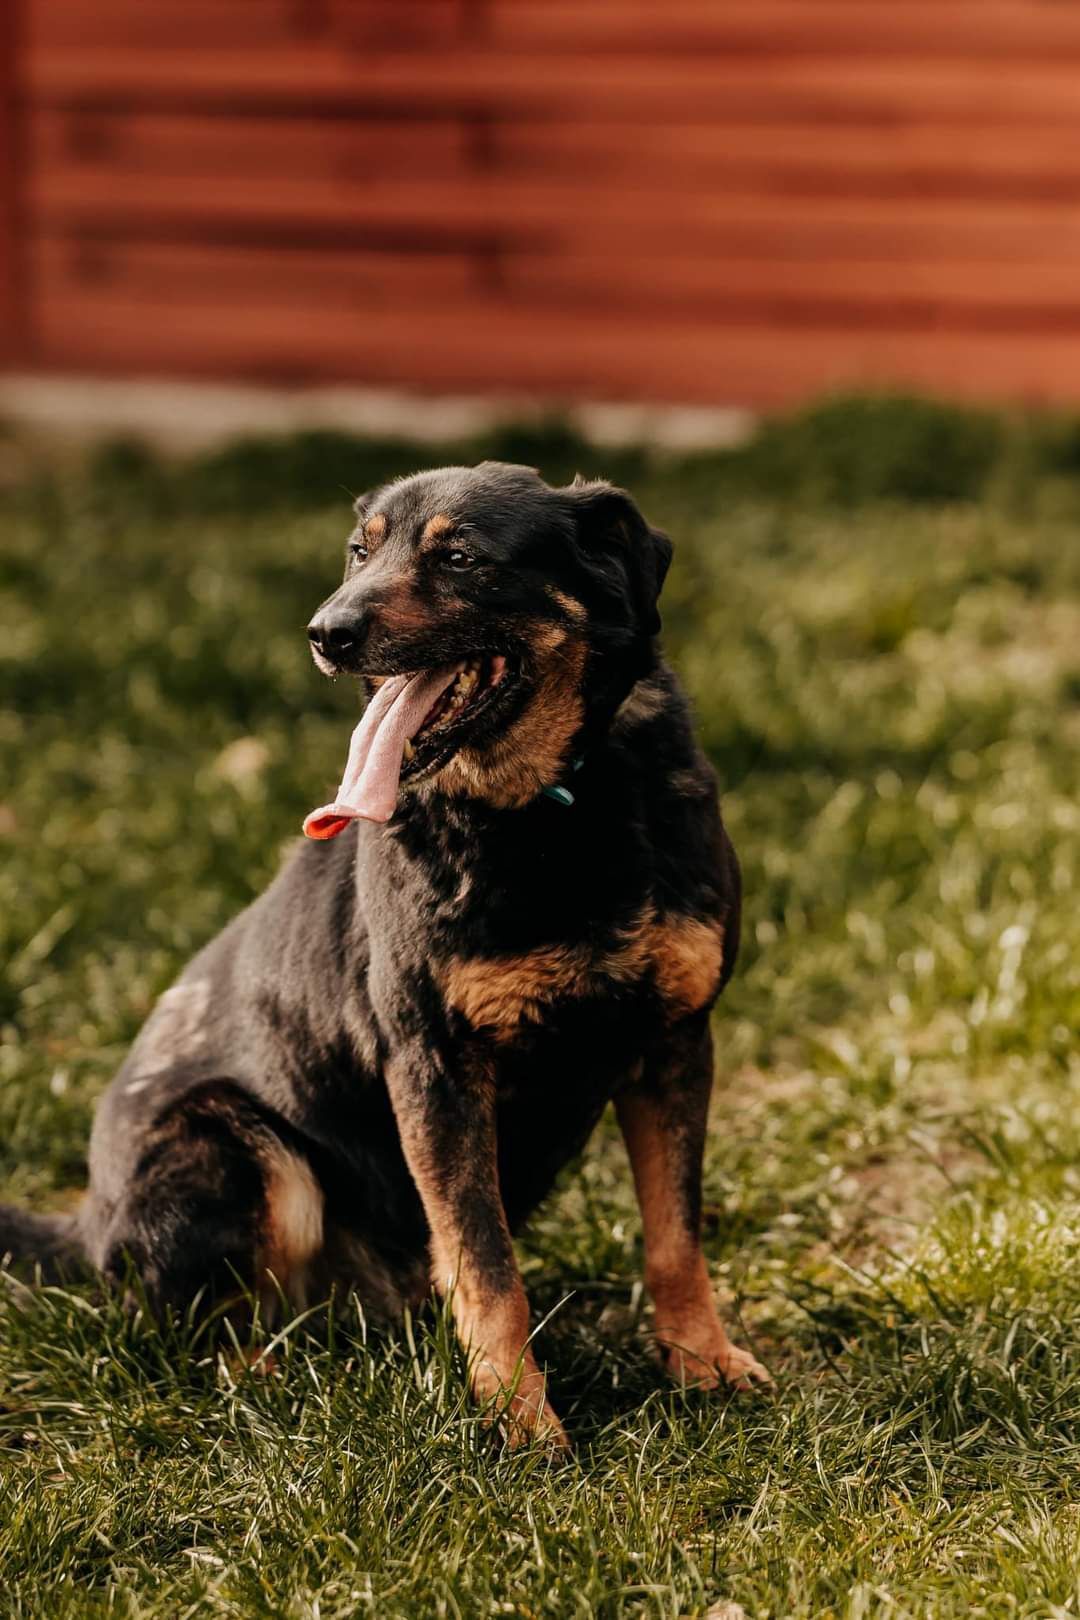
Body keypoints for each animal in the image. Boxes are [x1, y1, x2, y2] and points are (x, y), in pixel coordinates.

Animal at [6, 456, 767, 1445]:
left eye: (460, 556)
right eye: (359, 552)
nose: (325, 633)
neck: (551, 809)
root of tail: (85, 1224)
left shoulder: (675, 1040)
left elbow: (675, 1235)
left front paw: (701, 1363)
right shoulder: (434, 1064)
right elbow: (489, 1270)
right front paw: (520, 1425)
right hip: (237, 1145)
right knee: (193, 1329)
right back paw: (267, 1384)